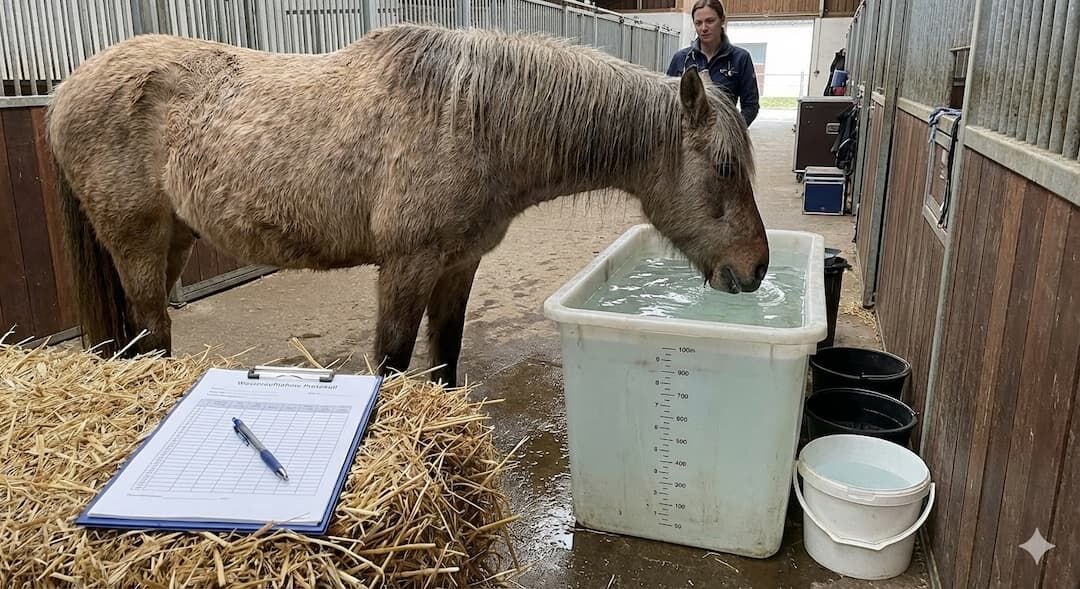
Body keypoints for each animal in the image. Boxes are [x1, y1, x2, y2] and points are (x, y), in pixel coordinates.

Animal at [46, 23, 769, 388]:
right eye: (725, 168)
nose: (756, 269)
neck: (471, 120)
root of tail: (64, 90)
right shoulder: (405, 267)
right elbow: (392, 361)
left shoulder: (458, 266)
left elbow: (444, 357)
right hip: (138, 244)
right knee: (150, 333)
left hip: (172, 241)